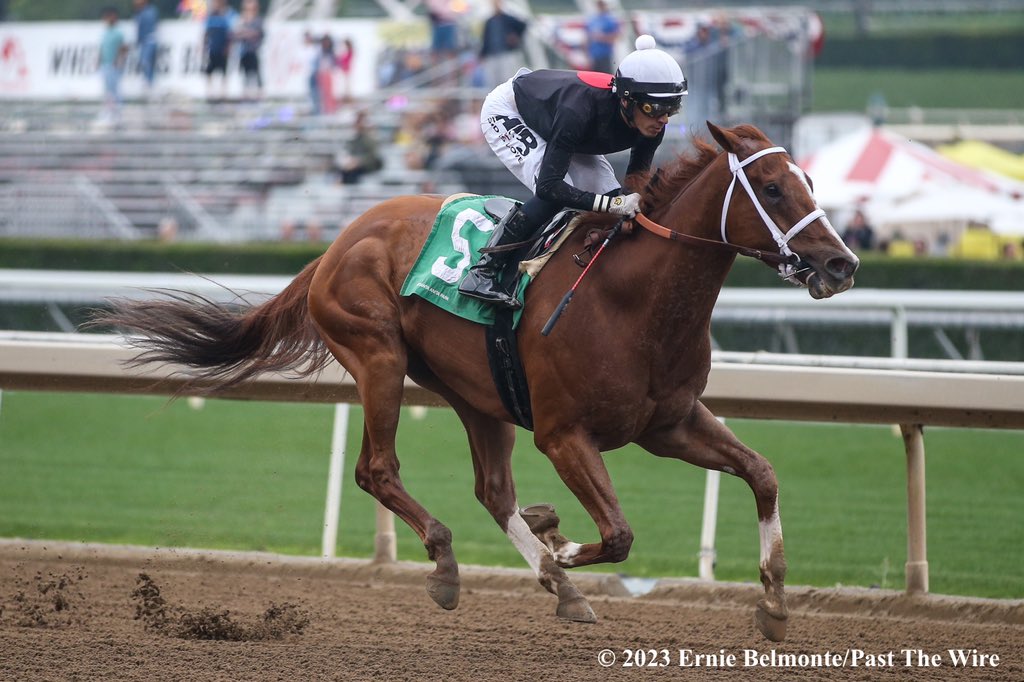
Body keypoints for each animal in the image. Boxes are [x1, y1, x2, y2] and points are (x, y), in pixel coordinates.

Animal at [101, 124, 856, 638]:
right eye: (772, 188)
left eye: (811, 183)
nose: (841, 264)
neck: (630, 298)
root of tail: (340, 240)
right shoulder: (563, 433)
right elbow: (616, 534)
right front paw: (560, 549)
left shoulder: (668, 422)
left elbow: (761, 473)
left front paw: (773, 602)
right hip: (379, 357)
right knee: (378, 469)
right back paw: (455, 564)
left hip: (476, 394)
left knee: (493, 490)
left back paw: (547, 565)